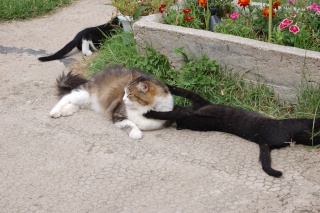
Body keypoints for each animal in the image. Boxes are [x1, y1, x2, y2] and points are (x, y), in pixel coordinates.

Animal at [144, 84, 320, 177]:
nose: (180, 108)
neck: (192, 109)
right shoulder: (188, 111)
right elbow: (171, 111)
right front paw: (151, 112)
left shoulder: (196, 101)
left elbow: (181, 92)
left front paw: (166, 89)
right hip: (298, 128)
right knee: (313, 131)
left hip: (298, 125)